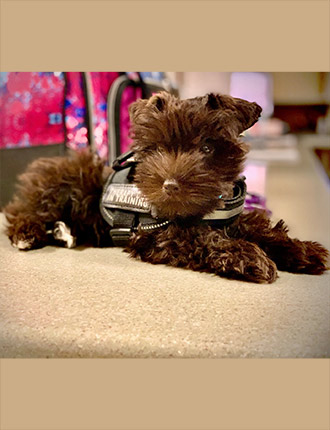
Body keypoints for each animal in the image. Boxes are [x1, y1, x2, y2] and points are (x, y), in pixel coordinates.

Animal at [3, 91, 328, 282]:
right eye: (157, 148)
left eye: (207, 147)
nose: (170, 185)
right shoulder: (157, 234)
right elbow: (201, 236)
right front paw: (246, 256)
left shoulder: (232, 220)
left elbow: (260, 228)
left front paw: (301, 250)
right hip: (64, 187)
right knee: (22, 212)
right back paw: (27, 234)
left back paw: (63, 232)